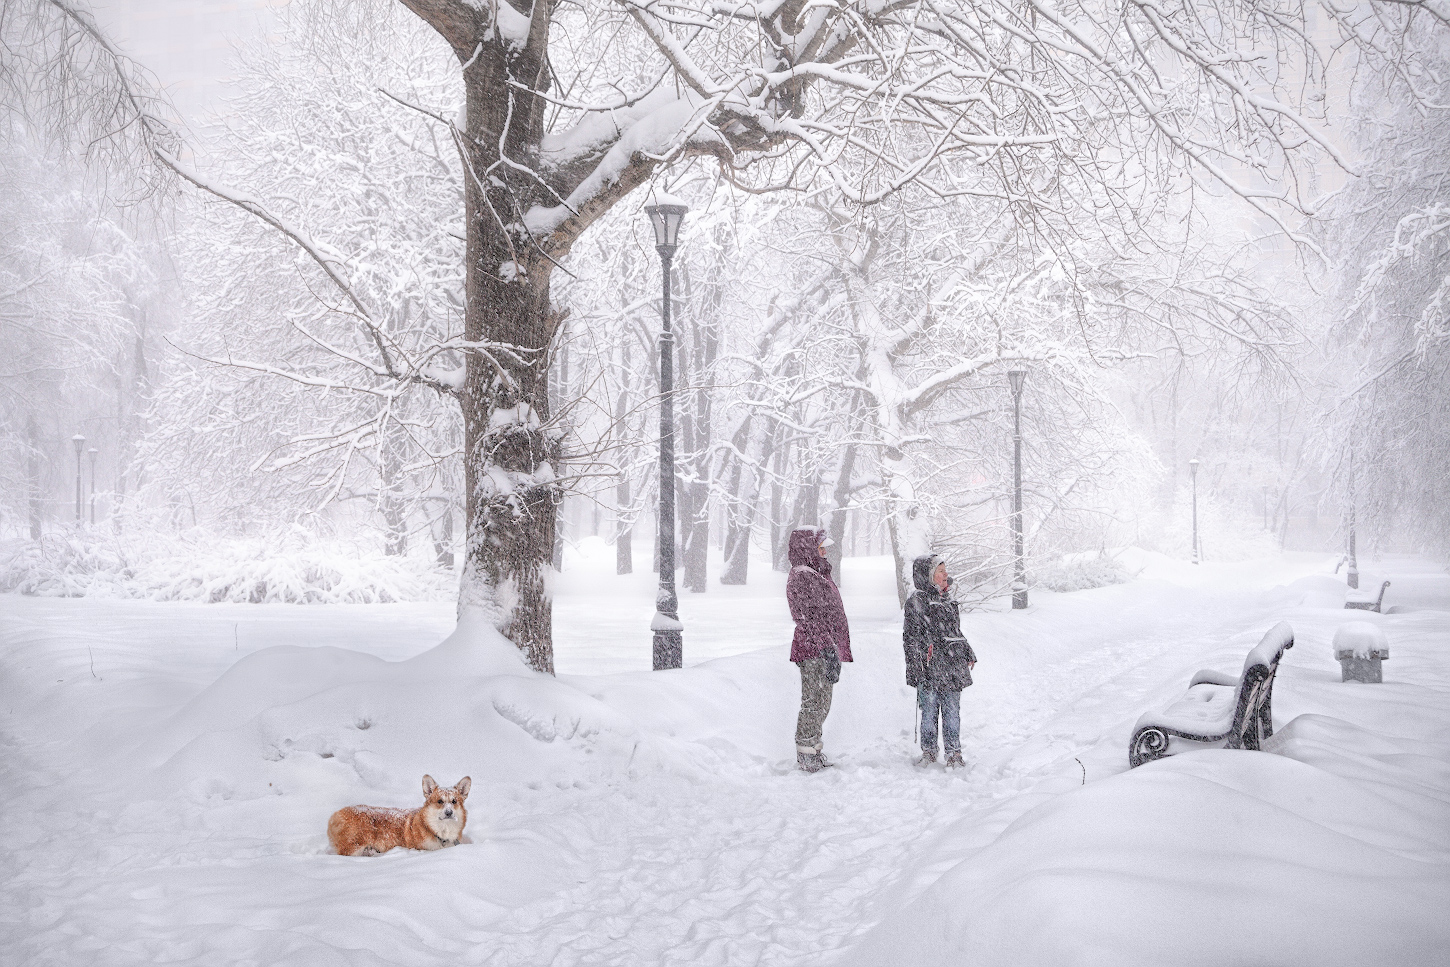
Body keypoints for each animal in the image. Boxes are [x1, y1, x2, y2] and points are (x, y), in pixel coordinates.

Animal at [327, 777, 469, 858]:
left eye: (454, 801)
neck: (440, 832)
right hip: (354, 847)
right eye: (440, 801)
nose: (449, 813)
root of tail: (335, 815)